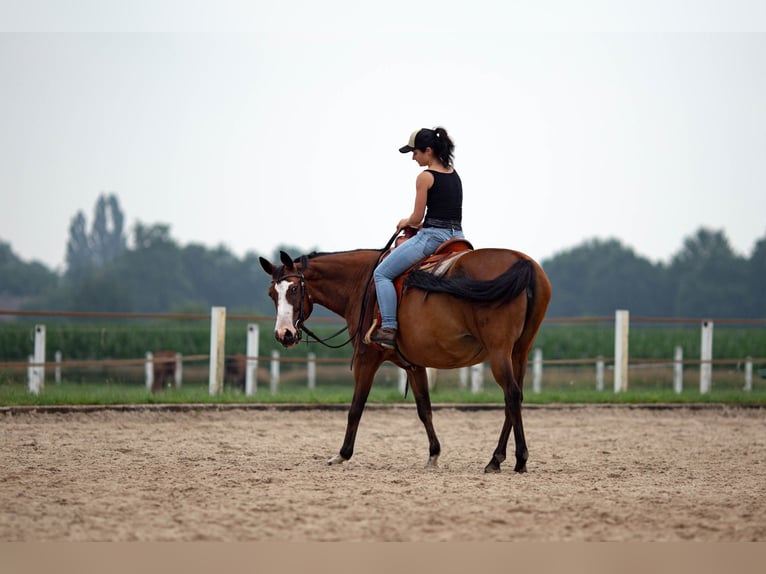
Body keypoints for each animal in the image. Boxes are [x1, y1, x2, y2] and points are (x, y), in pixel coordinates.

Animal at [260, 245, 552, 474]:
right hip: (519, 352)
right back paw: (497, 459)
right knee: (514, 398)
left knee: (511, 394)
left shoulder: (367, 359)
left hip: (499, 351)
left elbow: (356, 408)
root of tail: (523, 263)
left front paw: (342, 454)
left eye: (294, 289)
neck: (363, 283)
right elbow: (424, 409)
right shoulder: (414, 365)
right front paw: (434, 454)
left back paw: (517, 459)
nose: (284, 334)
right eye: (272, 294)